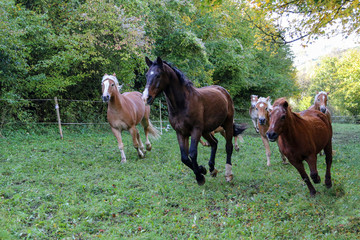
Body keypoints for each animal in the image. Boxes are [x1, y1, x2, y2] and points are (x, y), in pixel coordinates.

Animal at [142, 56, 246, 186]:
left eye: (158, 75)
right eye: (147, 75)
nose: (146, 98)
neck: (183, 104)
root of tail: (223, 91)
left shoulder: (195, 130)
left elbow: (192, 153)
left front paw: (200, 177)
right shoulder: (181, 132)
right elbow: (184, 157)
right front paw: (202, 170)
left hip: (226, 124)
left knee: (228, 147)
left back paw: (228, 174)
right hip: (206, 130)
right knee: (214, 143)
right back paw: (212, 169)